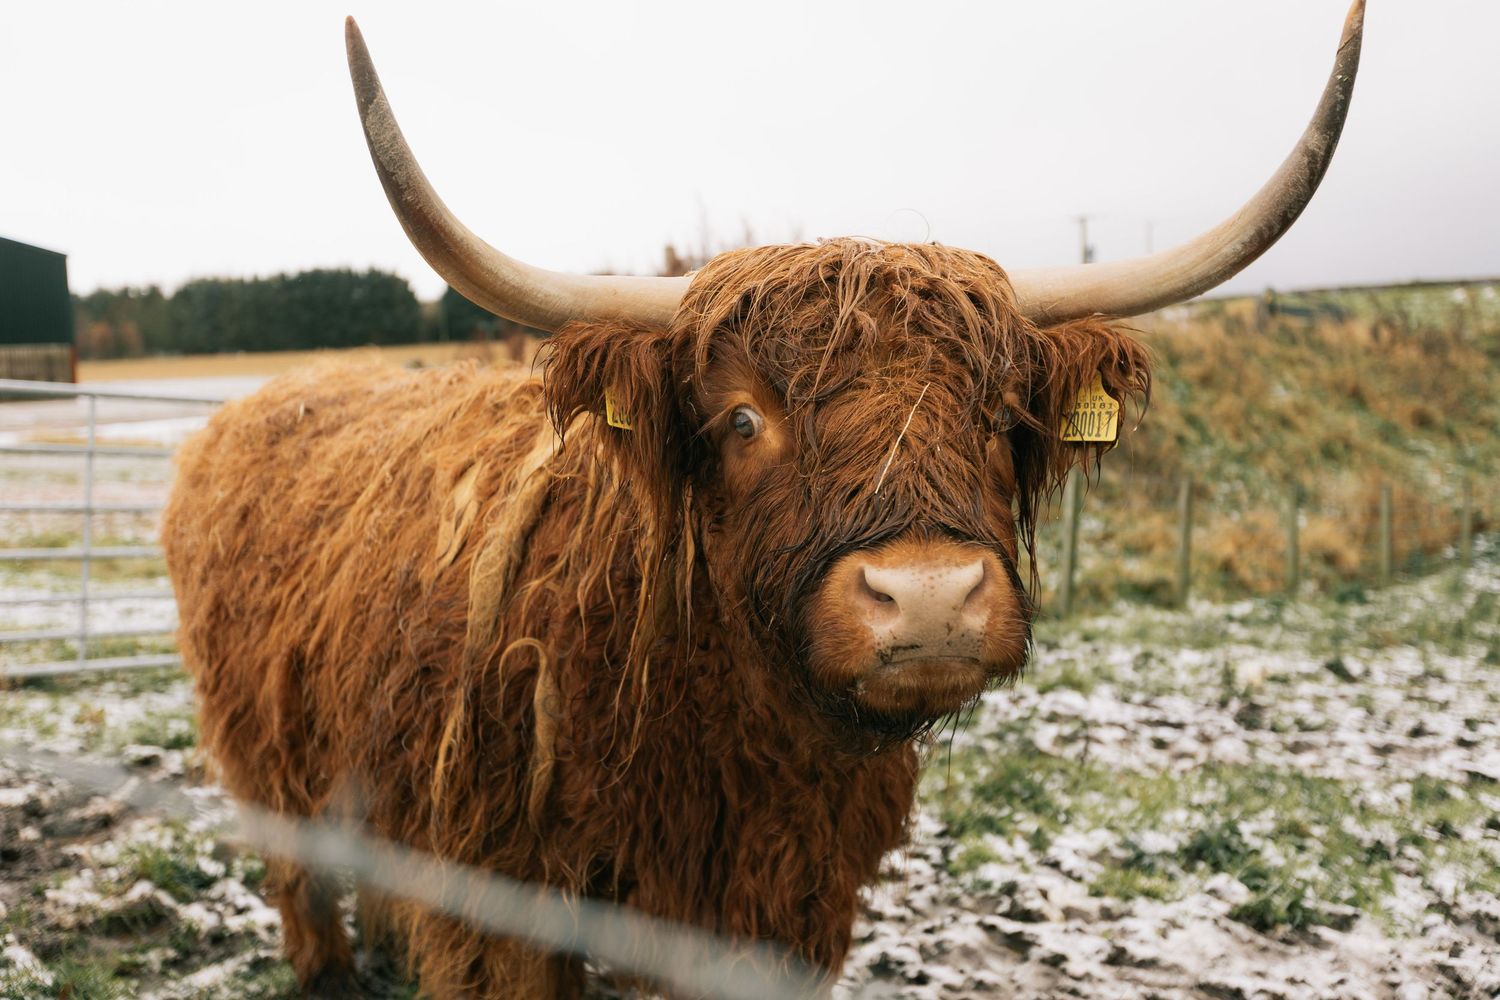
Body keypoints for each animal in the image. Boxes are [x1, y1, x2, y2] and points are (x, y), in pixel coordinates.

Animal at [161, 4, 1364, 997]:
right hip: (264, 746)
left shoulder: (778, 899)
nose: (929, 599)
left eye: (998, 414)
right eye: (744, 420)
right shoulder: (498, 893)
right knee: (296, 874)